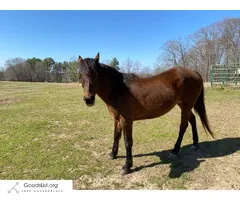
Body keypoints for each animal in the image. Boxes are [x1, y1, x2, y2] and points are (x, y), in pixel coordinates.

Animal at [78, 53, 214, 175]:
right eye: (80, 75)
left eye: (95, 74)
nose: (88, 99)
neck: (118, 89)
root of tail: (194, 72)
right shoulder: (116, 119)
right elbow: (116, 136)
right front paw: (112, 154)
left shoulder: (126, 120)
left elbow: (128, 141)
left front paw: (127, 166)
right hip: (184, 106)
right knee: (193, 119)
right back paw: (195, 144)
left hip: (186, 106)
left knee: (183, 126)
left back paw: (175, 151)